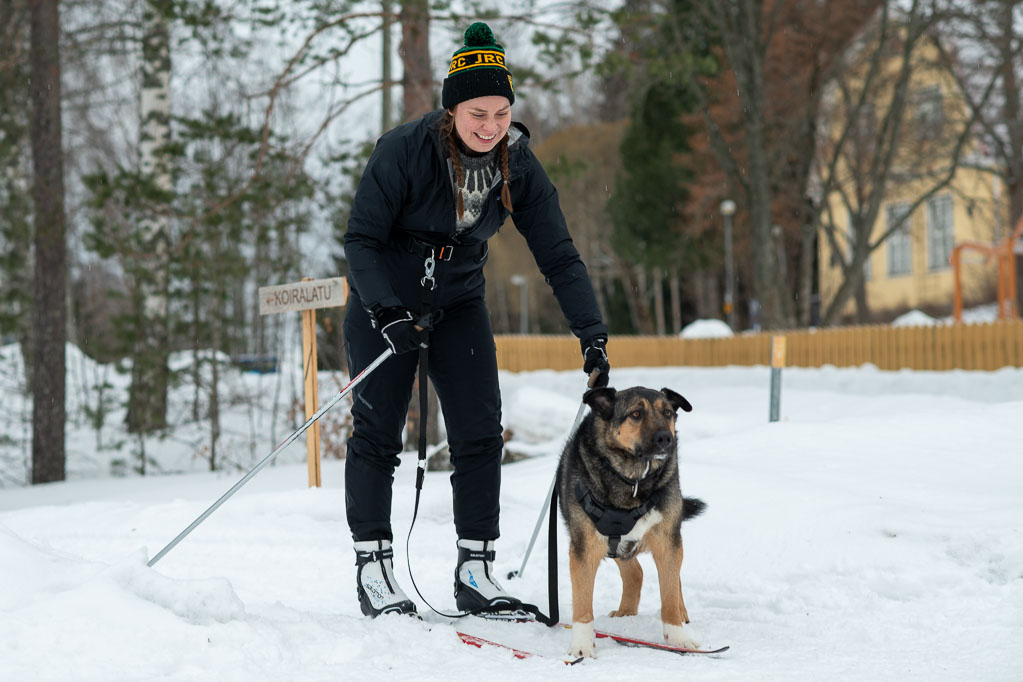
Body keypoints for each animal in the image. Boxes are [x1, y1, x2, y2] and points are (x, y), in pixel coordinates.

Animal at [556, 386, 707, 658]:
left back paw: (678, 613)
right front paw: (582, 646)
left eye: (668, 413)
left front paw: (677, 637)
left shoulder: (667, 541)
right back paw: (625, 614)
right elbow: (582, 602)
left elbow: (669, 593)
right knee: (635, 573)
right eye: (636, 414)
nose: (666, 439)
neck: (633, 478)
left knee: (665, 578)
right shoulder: (585, 547)